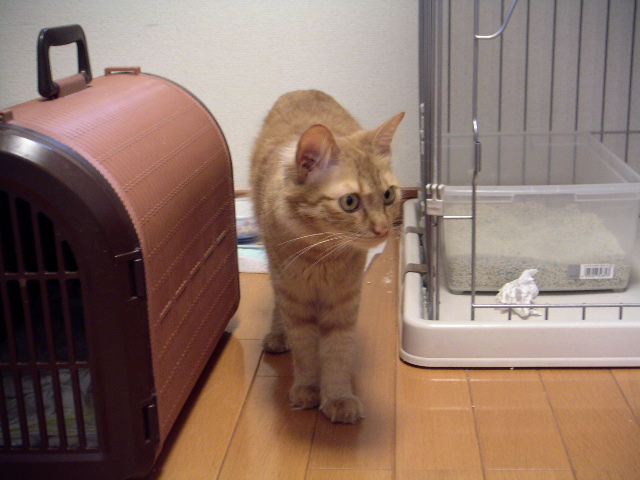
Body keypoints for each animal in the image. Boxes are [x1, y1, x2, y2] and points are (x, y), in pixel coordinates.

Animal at [250, 90, 404, 423]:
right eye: (350, 202)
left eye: (388, 195)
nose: (383, 229)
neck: (321, 252)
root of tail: (303, 89)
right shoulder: (294, 299)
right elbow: (305, 349)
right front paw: (308, 390)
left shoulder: (344, 302)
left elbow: (337, 352)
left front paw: (337, 398)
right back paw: (277, 335)